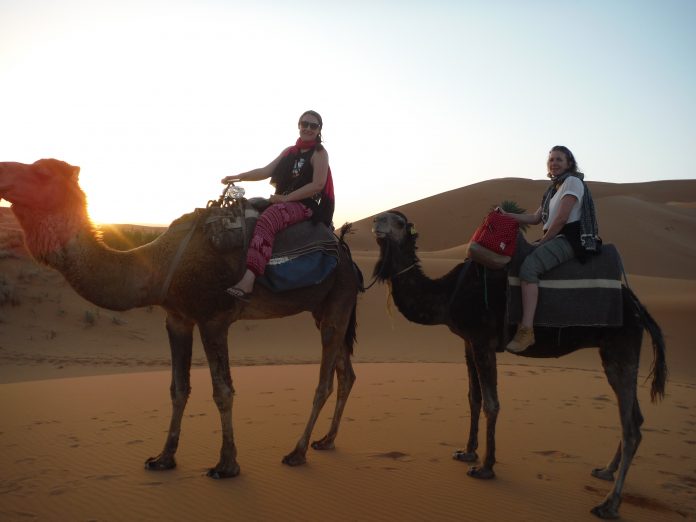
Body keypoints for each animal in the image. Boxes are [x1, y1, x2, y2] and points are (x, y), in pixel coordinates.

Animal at [1, 157, 364, 476]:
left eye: (42, 172)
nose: (3, 170)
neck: (160, 266)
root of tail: (345, 252)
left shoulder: (213, 318)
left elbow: (223, 390)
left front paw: (226, 465)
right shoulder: (177, 318)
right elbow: (178, 388)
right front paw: (163, 458)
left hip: (338, 300)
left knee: (324, 382)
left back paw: (297, 452)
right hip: (323, 308)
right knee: (346, 374)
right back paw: (326, 441)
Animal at [372, 209, 668, 516]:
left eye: (398, 222)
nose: (375, 221)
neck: (448, 293)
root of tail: (637, 305)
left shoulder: (483, 340)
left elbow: (491, 404)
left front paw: (485, 467)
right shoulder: (468, 341)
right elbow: (473, 398)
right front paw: (467, 452)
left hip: (620, 347)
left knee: (630, 425)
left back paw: (608, 504)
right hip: (618, 350)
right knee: (635, 417)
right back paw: (606, 471)